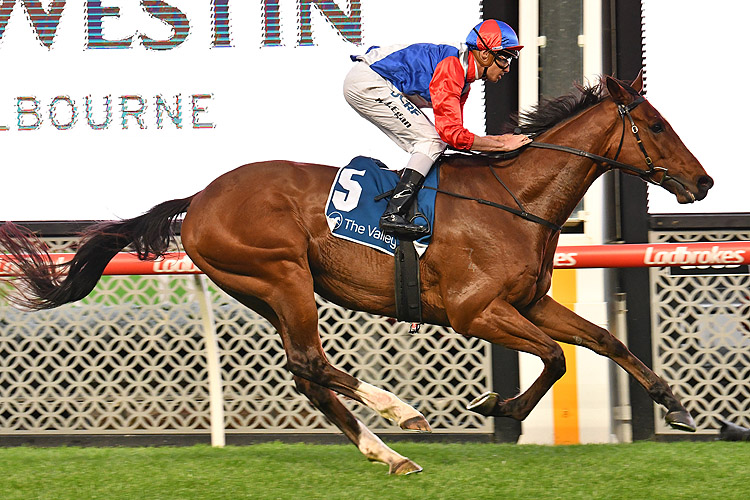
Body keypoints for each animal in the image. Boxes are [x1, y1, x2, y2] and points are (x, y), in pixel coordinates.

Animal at [0, 73, 716, 472]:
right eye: (655, 125)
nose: (703, 182)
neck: (514, 200)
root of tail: (199, 198)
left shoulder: (529, 303)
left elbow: (603, 340)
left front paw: (677, 405)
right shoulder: (475, 310)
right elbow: (556, 357)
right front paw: (500, 405)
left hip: (266, 289)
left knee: (308, 373)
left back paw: (389, 455)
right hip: (281, 275)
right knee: (312, 364)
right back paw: (402, 416)